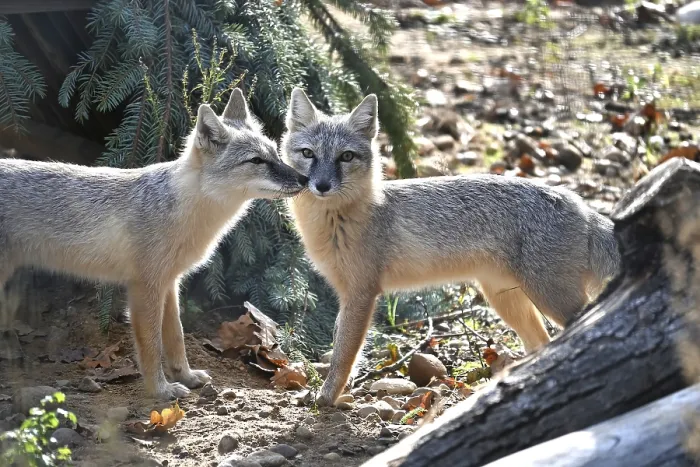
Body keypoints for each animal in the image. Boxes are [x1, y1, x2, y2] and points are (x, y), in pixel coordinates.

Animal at [0, 88, 307, 401]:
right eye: (256, 161)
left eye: (275, 153)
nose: (306, 178)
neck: (187, 211)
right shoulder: (144, 287)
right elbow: (151, 345)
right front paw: (159, 389)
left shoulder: (169, 283)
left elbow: (176, 337)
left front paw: (186, 376)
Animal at [281, 87, 621, 406]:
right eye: (308, 153)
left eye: (346, 157)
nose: (322, 185)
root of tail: (580, 203)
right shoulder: (346, 292)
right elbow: (338, 345)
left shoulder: (361, 293)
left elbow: (344, 355)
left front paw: (327, 398)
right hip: (507, 300)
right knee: (542, 343)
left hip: (550, 297)